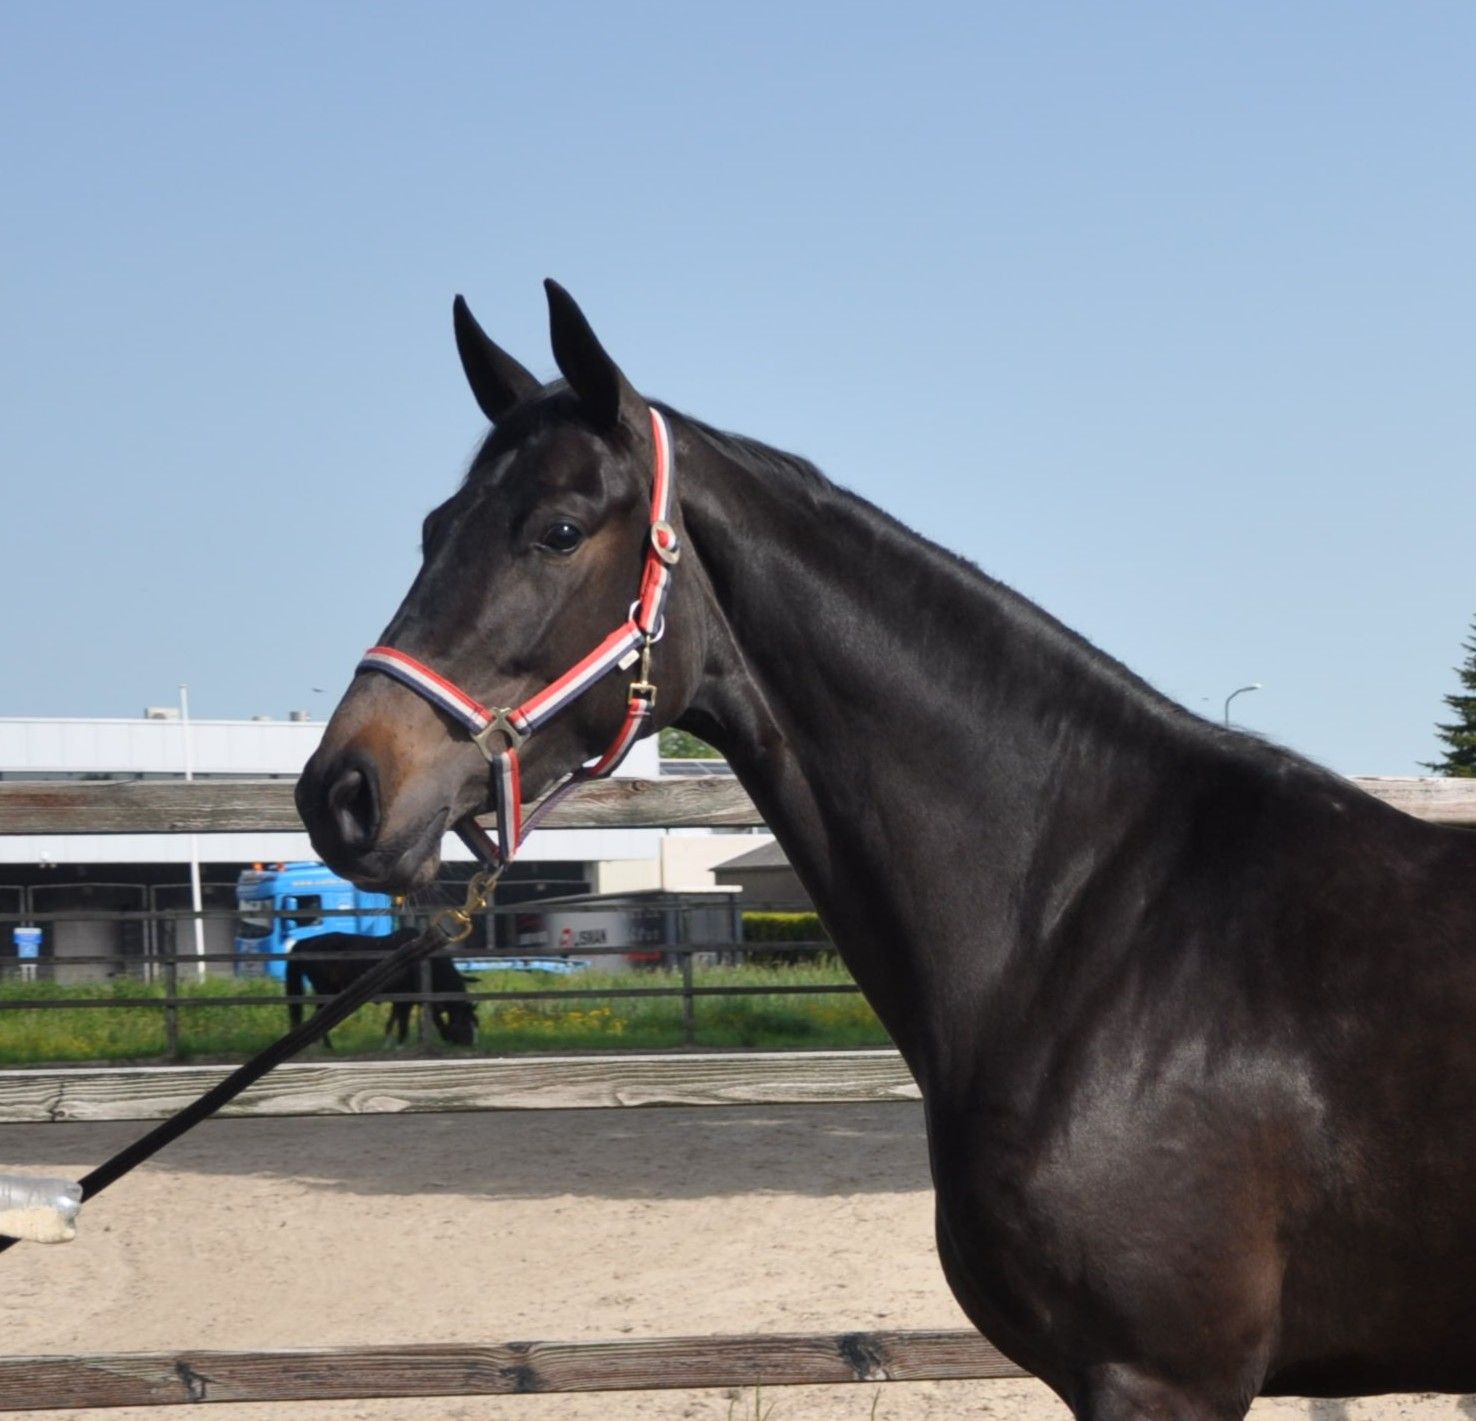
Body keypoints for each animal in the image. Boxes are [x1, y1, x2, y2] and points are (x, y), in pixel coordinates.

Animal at [286, 929, 478, 1047]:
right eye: (465, 1023)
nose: (470, 1044)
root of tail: (304, 942)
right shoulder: (407, 1001)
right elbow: (406, 1024)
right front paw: (400, 1045)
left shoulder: (403, 1000)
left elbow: (393, 1021)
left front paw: (388, 1043)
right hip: (325, 991)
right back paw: (326, 1046)